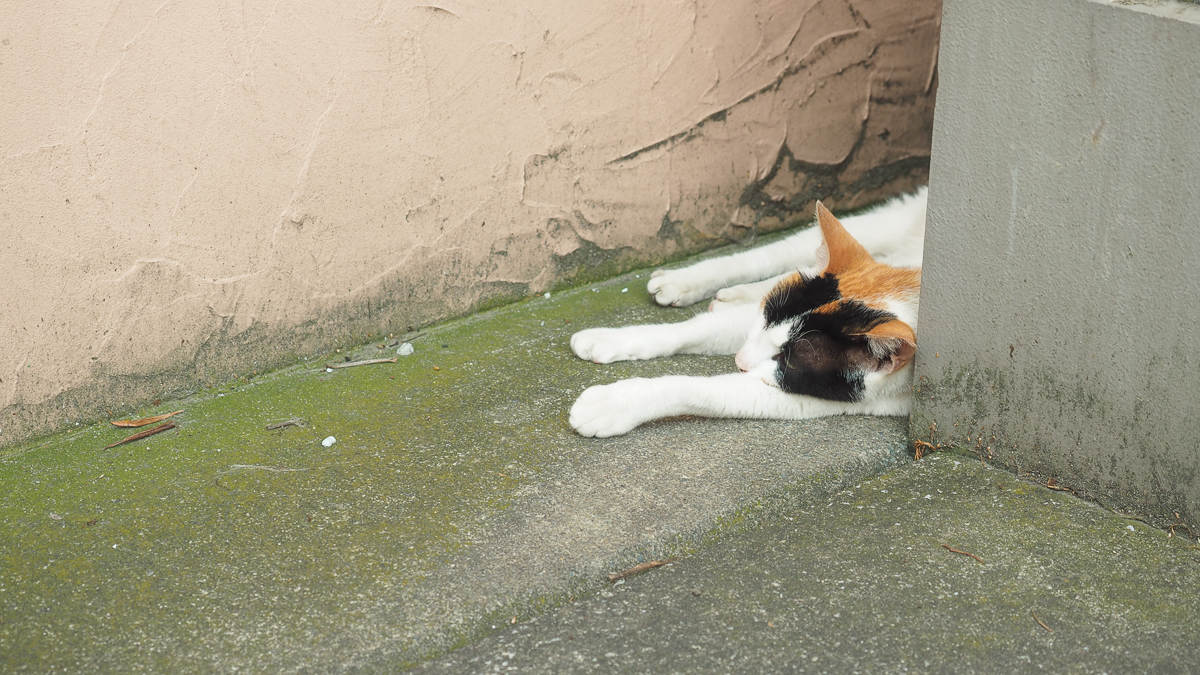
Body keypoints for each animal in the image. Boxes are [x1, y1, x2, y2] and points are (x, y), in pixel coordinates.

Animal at [566, 186, 921, 437]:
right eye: (765, 320)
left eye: (787, 360)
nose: (739, 360)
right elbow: (696, 328)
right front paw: (610, 338)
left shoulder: (836, 394)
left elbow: (707, 392)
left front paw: (616, 404)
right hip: (884, 226)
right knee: (774, 255)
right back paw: (687, 280)